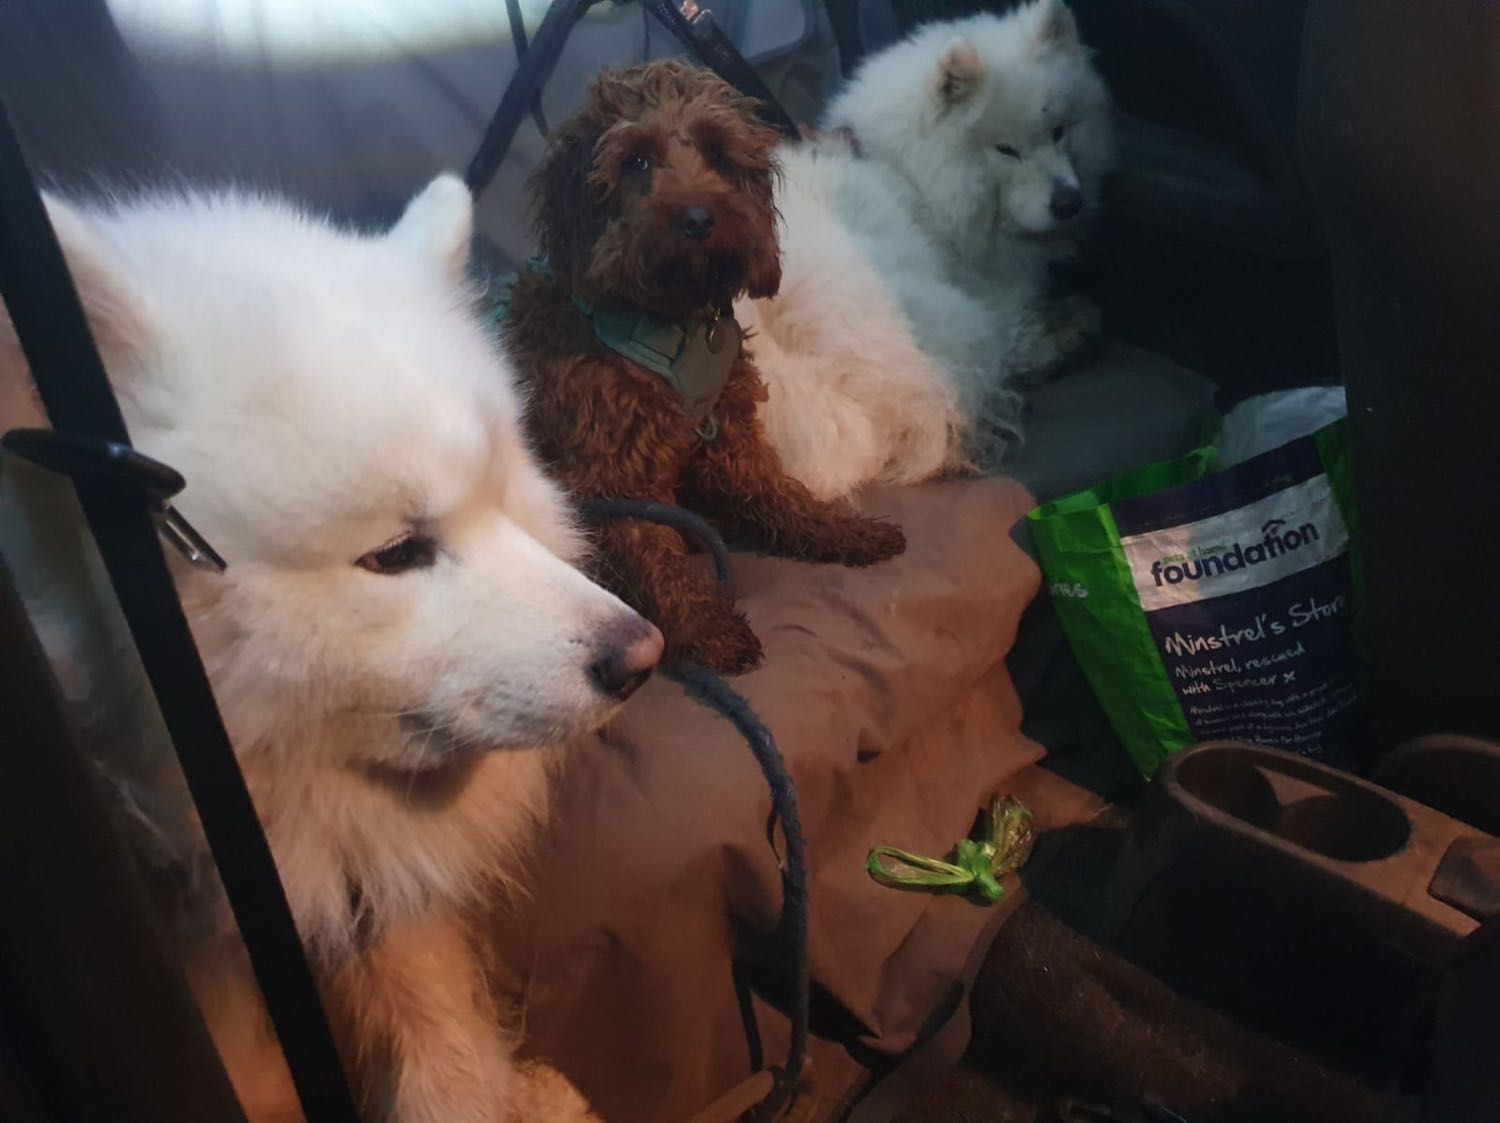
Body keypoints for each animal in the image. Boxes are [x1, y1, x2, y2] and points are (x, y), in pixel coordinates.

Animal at [503, 60, 906, 675]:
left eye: (718, 154)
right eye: (636, 160)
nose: (697, 218)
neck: (671, 320)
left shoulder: (731, 435)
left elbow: (780, 495)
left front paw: (840, 531)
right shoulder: (613, 475)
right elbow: (654, 553)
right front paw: (702, 628)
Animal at [803, 0, 1114, 468]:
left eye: (1059, 131)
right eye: (1006, 149)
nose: (1068, 203)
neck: (914, 181)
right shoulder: (991, 301)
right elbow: (1021, 330)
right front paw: (1068, 323)